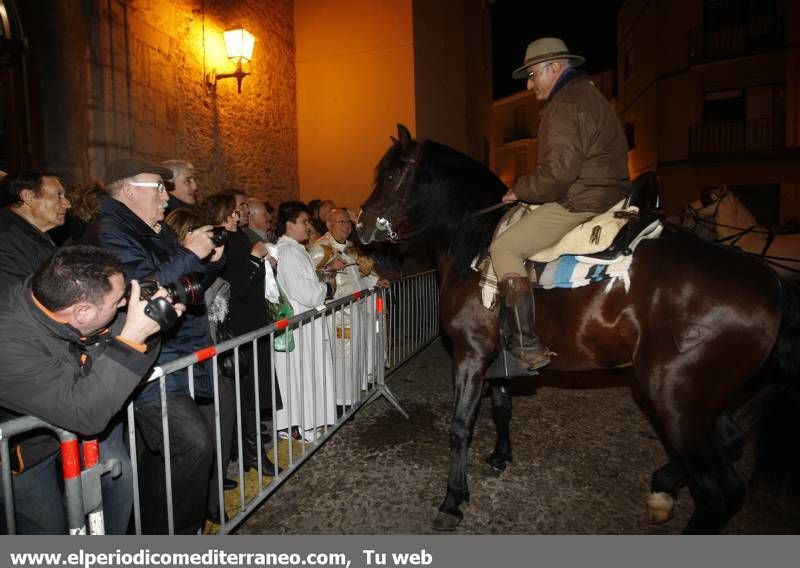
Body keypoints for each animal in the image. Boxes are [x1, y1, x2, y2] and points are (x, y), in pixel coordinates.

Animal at [356, 123, 800, 532]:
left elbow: (460, 426)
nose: (361, 227)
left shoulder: (470, 354)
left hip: (678, 401)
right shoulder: (497, 357)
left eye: (392, 174)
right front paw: (500, 457)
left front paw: (452, 499)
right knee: (730, 440)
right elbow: (502, 409)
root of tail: (774, 286)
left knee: (720, 491)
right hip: (705, 400)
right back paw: (661, 486)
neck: (475, 241)